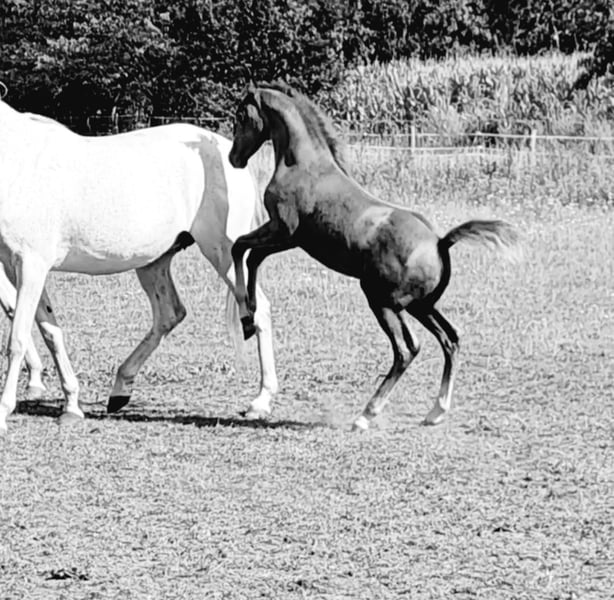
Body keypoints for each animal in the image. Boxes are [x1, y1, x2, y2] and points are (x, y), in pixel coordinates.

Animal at [0, 98, 279, 433]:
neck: (18, 162)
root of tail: (229, 154)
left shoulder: (31, 265)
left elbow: (17, 338)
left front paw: (4, 412)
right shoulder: (19, 266)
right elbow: (49, 331)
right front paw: (71, 406)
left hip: (224, 254)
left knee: (259, 308)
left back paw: (260, 402)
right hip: (154, 263)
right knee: (170, 314)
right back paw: (120, 390)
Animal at [228, 82, 520, 430]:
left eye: (241, 116)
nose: (233, 158)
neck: (303, 165)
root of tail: (440, 242)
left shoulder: (283, 232)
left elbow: (241, 249)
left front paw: (247, 318)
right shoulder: (288, 239)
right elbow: (249, 254)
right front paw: (249, 318)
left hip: (382, 301)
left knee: (408, 350)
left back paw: (366, 415)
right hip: (421, 306)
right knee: (451, 339)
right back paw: (436, 411)